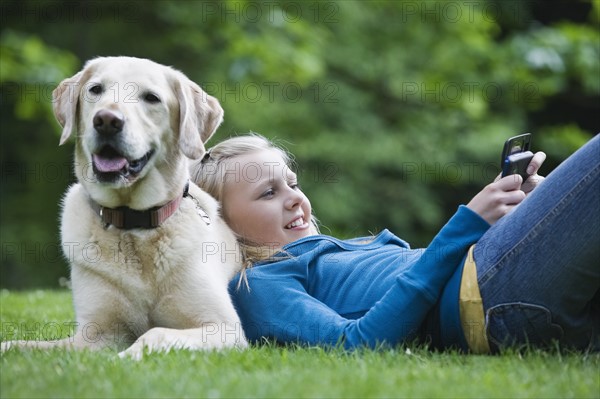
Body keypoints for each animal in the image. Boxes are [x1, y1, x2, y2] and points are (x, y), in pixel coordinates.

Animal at [0, 56, 246, 360]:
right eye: (95, 89)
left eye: (151, 98)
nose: (106, 120)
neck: (133, 224)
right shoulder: (94, 335)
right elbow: (29, 345)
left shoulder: (223, 327)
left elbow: (156, 332)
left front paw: (126, 358)